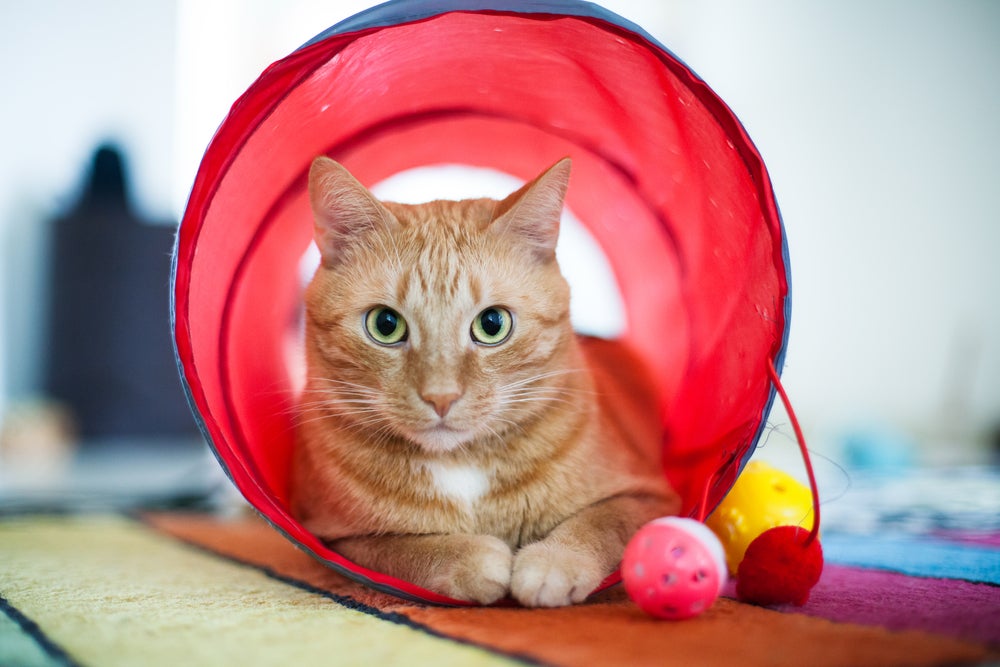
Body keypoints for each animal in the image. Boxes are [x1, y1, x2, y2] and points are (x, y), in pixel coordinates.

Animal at [290, 157, 680, 604]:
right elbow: (402, 548)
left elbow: (602, 522)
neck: (461, 463)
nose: (441, 397)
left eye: (492, 324)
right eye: (385, 325)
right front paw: (473, 560)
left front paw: (554, 562)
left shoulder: (652, 499)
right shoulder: (336, 539)